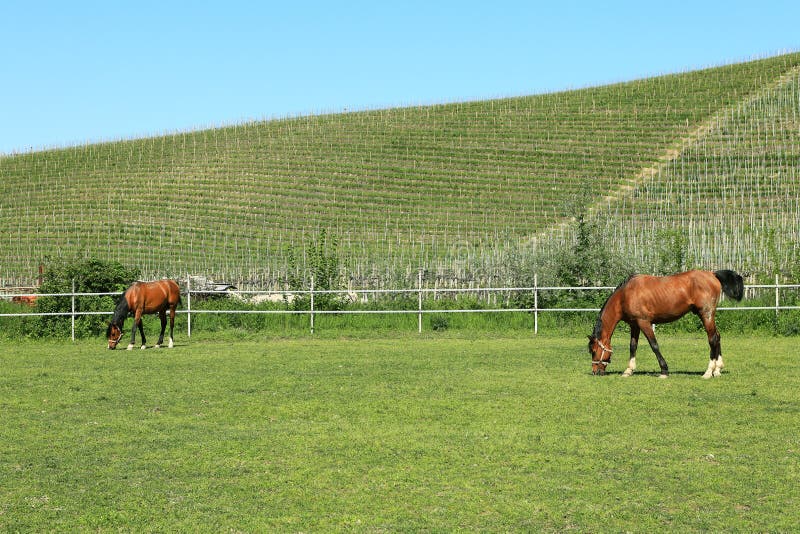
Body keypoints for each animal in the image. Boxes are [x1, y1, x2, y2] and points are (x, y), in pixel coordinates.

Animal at [588, 270, 743, 379]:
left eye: (593, 351)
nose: (595, 372)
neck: (625, 295)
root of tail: (712, 274)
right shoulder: (634, 324)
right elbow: (633, 346)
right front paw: (628, 370)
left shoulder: (644, 322)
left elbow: (654, 345)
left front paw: (664, 370)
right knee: (717, 336)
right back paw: (717, 369)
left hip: (706, 314)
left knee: (712, 339)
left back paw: (708, 371)